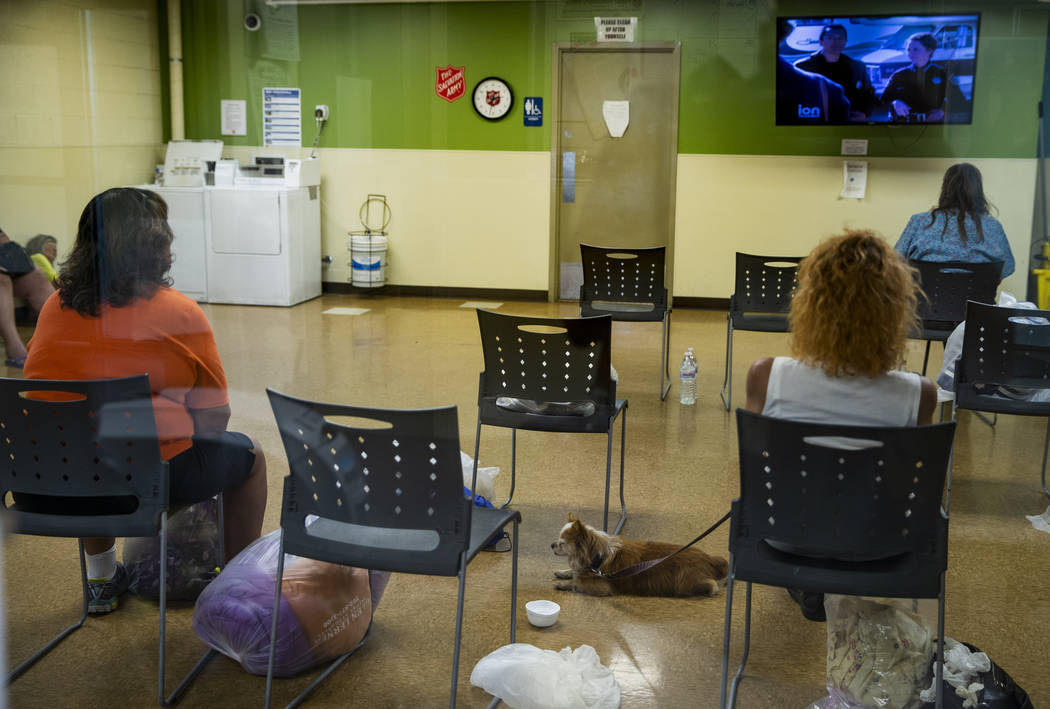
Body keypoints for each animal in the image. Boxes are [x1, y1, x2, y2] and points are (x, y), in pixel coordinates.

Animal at [550, 512, 730, 596]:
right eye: (557, 540)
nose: (551, 545)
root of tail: (708, 559)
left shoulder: (601, 587)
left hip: (686, 583)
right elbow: (575, 572)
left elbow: (578, 582)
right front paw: (564, 572)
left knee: (711, 585)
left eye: (562, 543)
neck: (597, 556)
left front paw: (563, 584)